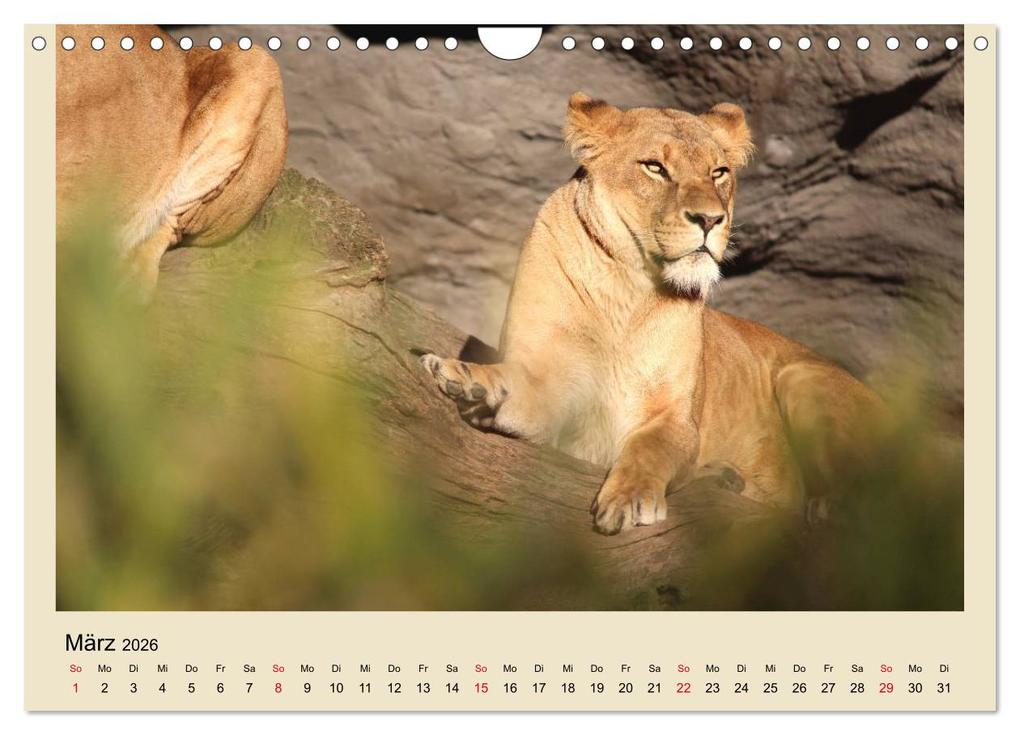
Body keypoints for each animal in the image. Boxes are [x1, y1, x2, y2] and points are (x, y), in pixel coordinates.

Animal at [420, 92, 887, 535]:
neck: (627, 289)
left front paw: (630, 500)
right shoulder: (554, 385)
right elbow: (522, 390)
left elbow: (650, 448)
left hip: (801, 376)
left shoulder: (677, 418)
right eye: (655, 167)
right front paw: (470, 381)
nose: (710, 219)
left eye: (719, 172)